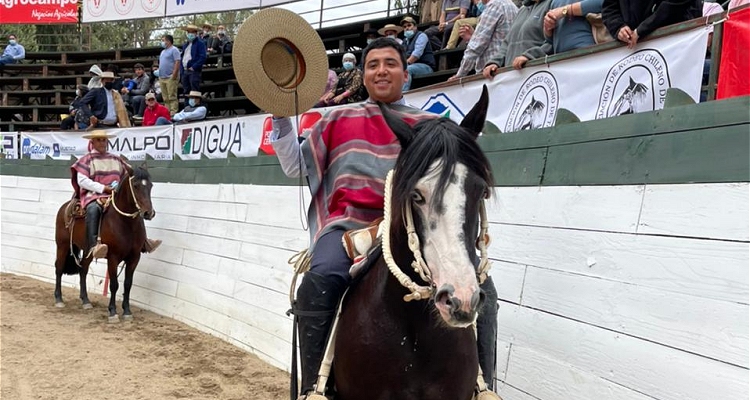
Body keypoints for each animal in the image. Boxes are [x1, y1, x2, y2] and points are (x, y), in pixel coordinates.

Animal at [54, 164, 156, 324]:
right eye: (135, 185)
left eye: (151, 185)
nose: (148, 213)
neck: (125, 223)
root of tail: (65, 207)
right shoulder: (113, 257)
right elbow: (114, 285)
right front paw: (113, 312)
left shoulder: (134, 257)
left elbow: (128, 284)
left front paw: (127, 311)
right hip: (62, 245)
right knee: (59, 268)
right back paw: (59, 299)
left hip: (89, 250)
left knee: (83, 270)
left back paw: (86, 301)